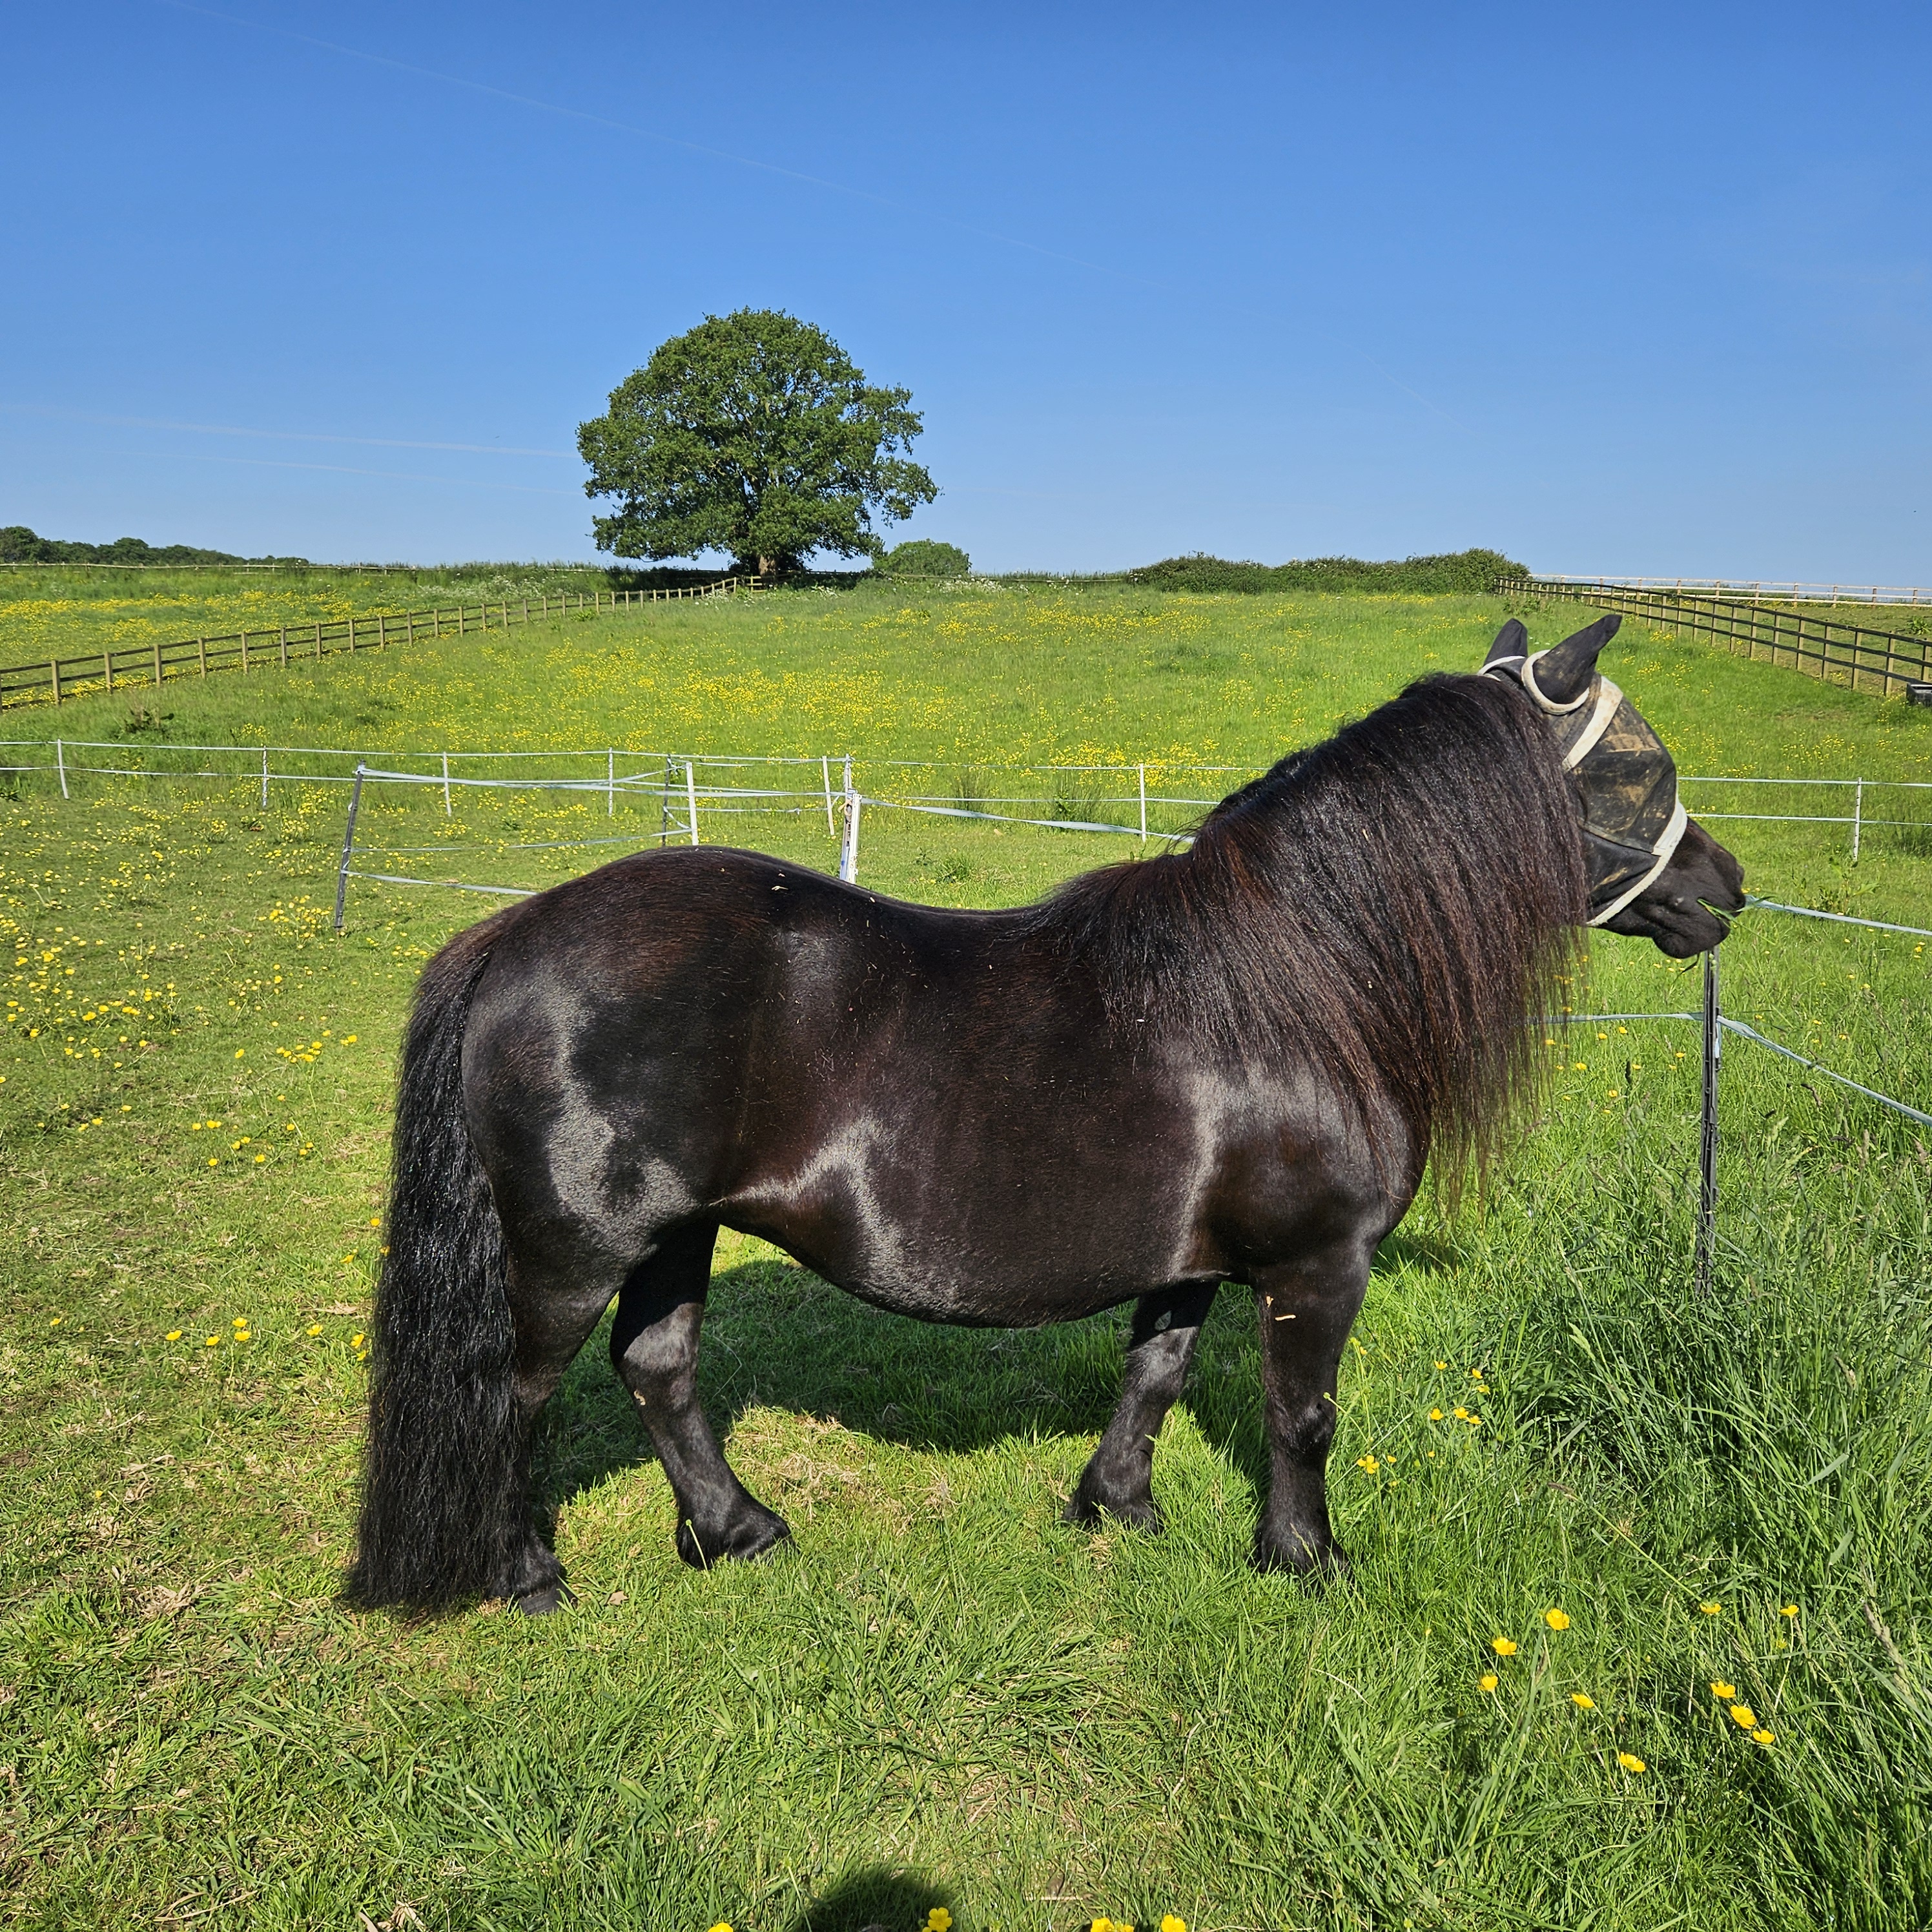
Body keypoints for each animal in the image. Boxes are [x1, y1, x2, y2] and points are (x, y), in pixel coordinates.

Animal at [340, 618, 1746, 1615]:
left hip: (676, 1231)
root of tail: (516, 931)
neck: (1300, 983)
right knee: (517, 1393)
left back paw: (737, 1531)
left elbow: (1155, 1372)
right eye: (1634, 768)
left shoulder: (1187, 1260)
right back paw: (528, 1577)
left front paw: (1115, 1506)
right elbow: (1302, 1417)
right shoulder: (1314, 1266)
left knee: (659, 1369)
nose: (1725, 888)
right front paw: (1306, 1561)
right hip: (569, 1253)